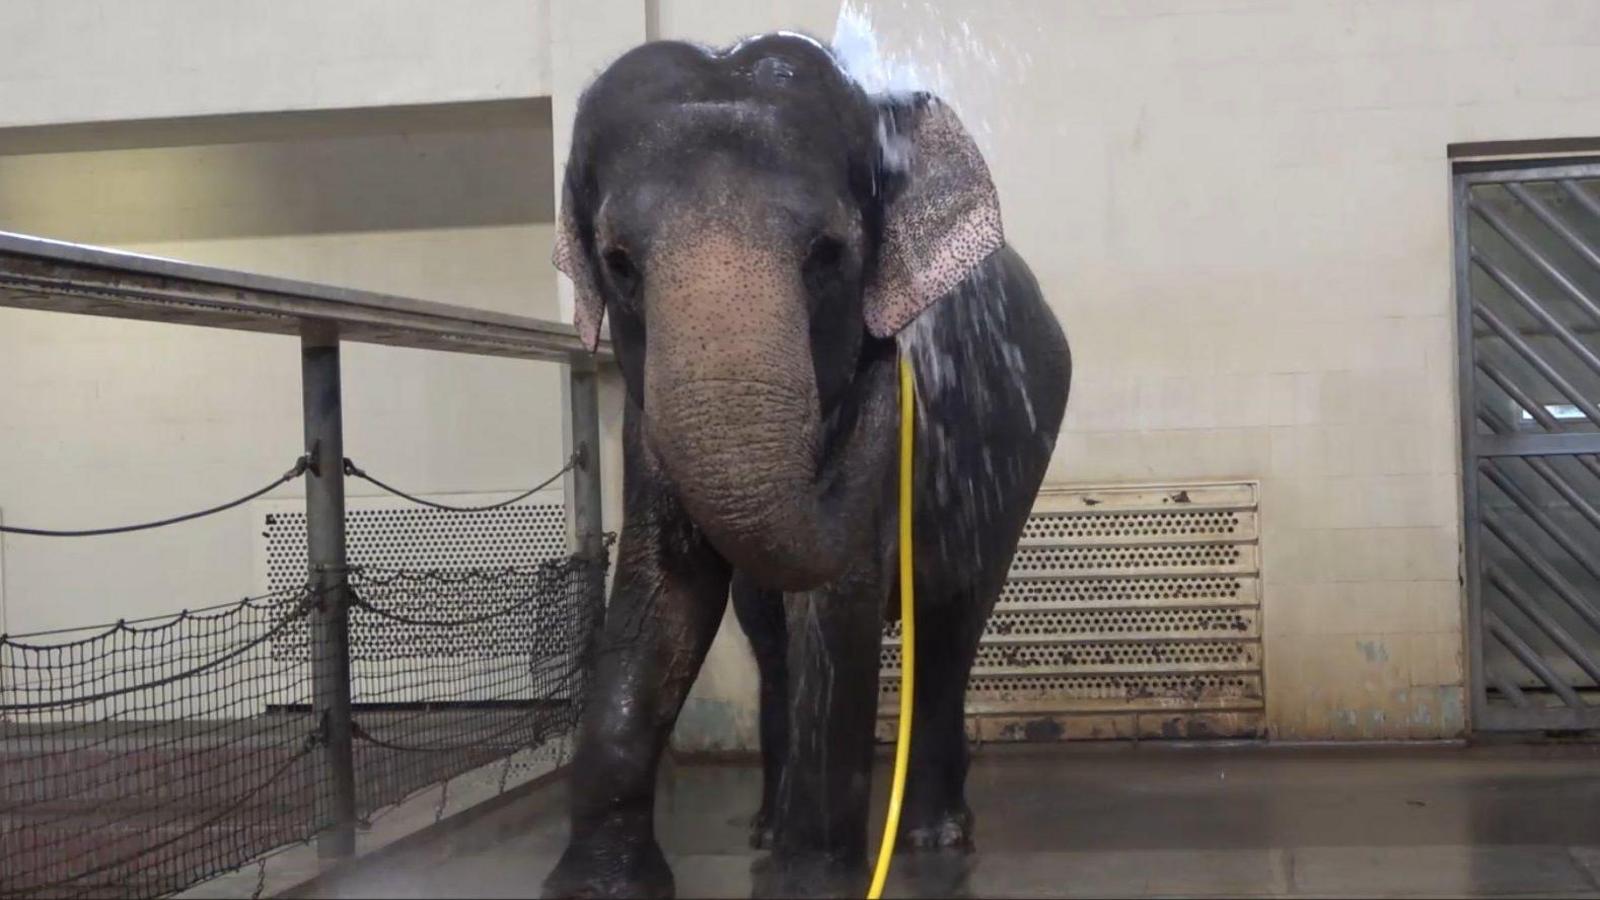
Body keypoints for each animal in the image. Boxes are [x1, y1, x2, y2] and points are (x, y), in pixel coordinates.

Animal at [540, 31, 1075, 890]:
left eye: (829, 255)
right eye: (619, 262)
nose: (881, 364)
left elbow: (836, 595)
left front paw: (812, 883)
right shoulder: (645, 413)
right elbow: (665, 593)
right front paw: (599, 885)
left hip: (1017, 456)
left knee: (950, 621)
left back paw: (932, 836)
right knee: (771, 637)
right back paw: (767, 826)